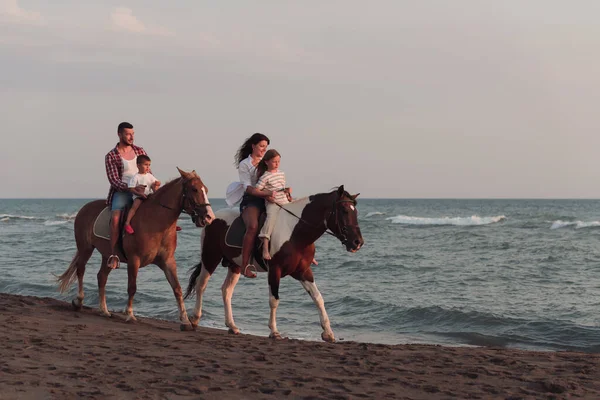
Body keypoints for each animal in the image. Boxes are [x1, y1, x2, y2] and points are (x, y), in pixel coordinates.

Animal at [56, 167, 216, 330]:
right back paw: (79, 301)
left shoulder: (168, 261)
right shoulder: (134, 260)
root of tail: (85, 208)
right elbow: (132, 287)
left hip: (107, 256)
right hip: (85, 248)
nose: (209, 217)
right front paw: (130, 314)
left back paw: (104, 310)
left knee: (101, 277)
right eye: (194, 189)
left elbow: (177, 288)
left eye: (206, 189)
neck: (156, 222)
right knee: (80, 269)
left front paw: (185, 320)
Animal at [184, 186, 360, 342]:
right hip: (210, 258)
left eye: (355, 211)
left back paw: (232, 326)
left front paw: (328, 333)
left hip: (235, 265)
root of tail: (212, 218)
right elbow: (274, 300)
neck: (295, 233)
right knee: (201, 285)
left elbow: (318, 298)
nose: (357, 242)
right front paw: (274, 331)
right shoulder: (275, 270)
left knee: (226, 291)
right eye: (344, 210)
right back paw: (194, 319)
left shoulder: (303, 271)